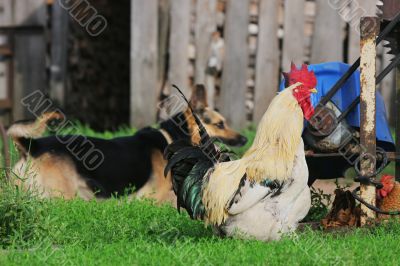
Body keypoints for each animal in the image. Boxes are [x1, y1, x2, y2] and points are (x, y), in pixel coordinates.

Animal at [7, 85, 247, 204]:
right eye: (220, 124)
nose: (245, 139)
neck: (172, 138)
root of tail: (31, 145)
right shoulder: (154, 198)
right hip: (62, 196)